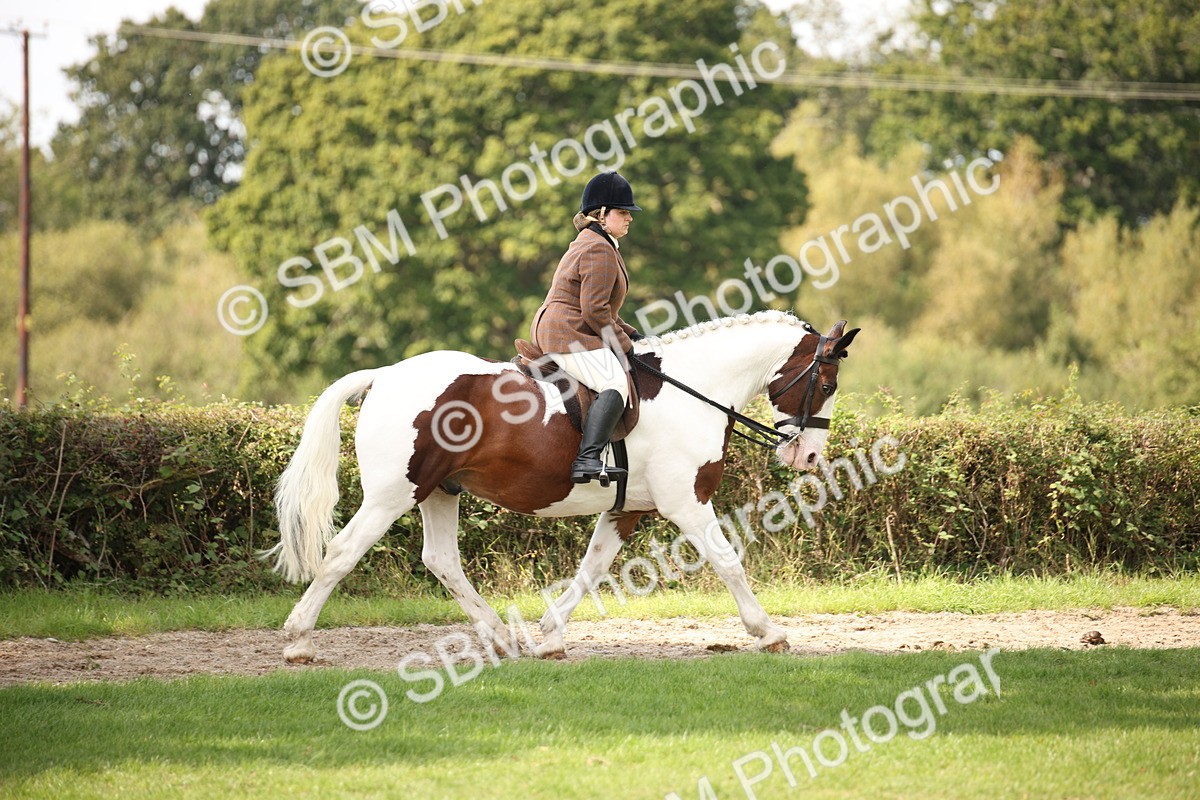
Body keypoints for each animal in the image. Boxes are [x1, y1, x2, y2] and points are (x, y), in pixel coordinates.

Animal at [268, 311, 859, 662]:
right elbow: (727, 559)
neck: (694, 389)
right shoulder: (686, 503)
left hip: (440, 490)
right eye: (827, 383)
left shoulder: (628, 509)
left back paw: (500, 637)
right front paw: (769, 632)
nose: (809, 455)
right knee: (343, 552)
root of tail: (386, 374)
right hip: (395, 493)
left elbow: (592, 569)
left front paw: (550, 636)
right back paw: (298, 642)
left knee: (441, 560)